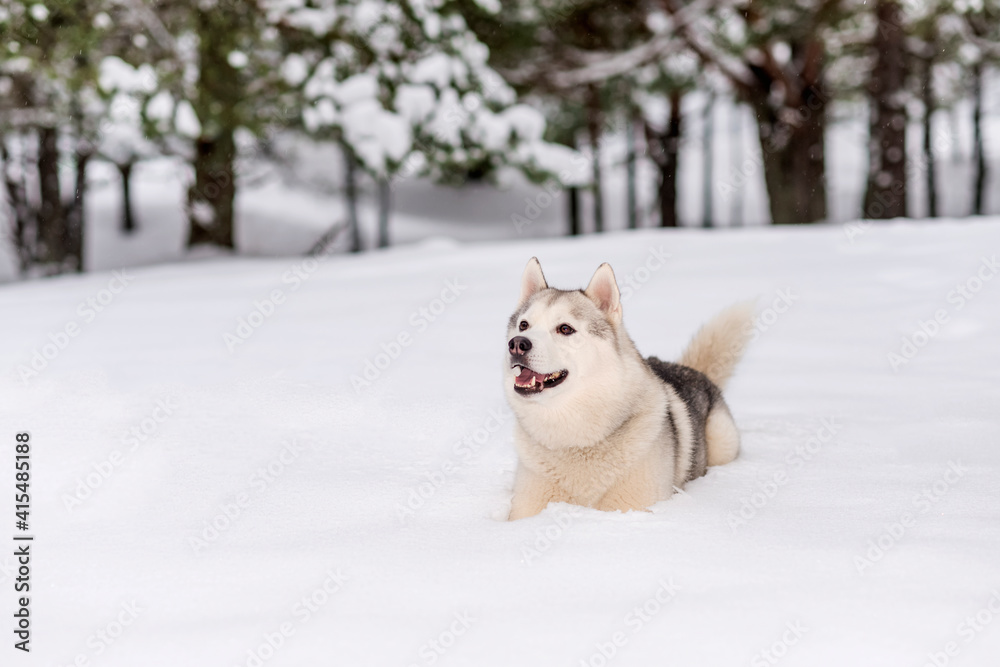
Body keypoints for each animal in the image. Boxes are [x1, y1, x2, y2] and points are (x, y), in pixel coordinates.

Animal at [504, 258, 752, 520]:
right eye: (524, 325)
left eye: (565, 329)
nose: (517, 344)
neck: (575, 442)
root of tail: (688, 368)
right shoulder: (525, 508)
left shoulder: (637, 506)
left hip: (723, 442)